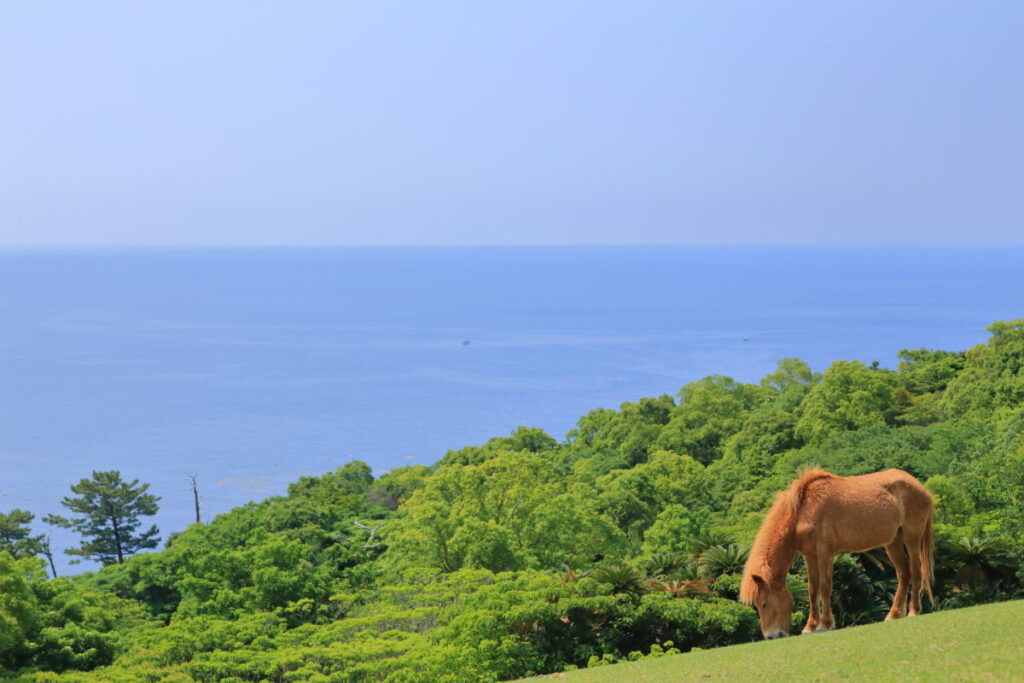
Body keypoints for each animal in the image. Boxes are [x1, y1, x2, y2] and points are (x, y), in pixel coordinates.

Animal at [739, 467, 934, 639]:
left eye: (764, 604)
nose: (771, 636)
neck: (803, 510)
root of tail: (920, 487)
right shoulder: (810, 556)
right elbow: (813, 590)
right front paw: (810, 627)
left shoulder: (825, 552)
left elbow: (825, 587)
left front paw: (824, 624)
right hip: (893, 542)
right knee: (904, 574)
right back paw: (894, 614)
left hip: (911, 538)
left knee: (916, 571)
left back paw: (913, 611)